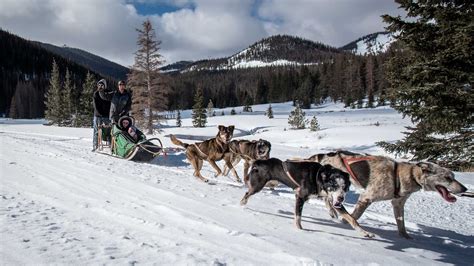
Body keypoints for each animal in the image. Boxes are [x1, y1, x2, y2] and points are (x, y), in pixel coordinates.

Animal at [241, 158, 374, 237]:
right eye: (334, 186)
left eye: (344, 187)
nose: (341, 198)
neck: (318, 176)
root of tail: (258, 162)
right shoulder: (300, 196)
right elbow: (298, 217)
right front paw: (300, 230)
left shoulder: (335, 202)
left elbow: (352, 219)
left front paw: (365, 233)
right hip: (258, 186)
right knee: (247, 194)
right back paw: (242, 203)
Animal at [310, 150, 468, 239]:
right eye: (447, 177)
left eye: (453, 176)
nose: (465, 188)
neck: (402, 175)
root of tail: (324, 155)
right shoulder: (366, 198)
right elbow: (355, 216)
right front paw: (346, 222)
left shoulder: (398, 203)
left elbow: (401, 223)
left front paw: (406, 238)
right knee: (328, 198)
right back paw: (332, 211)